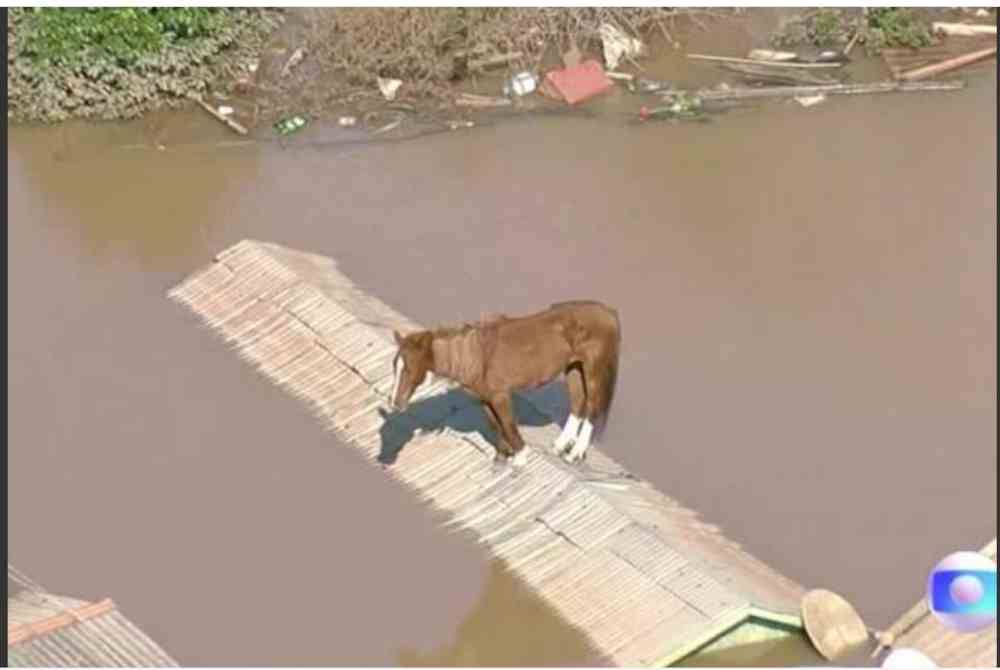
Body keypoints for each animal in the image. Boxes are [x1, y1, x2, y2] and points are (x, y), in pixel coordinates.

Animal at [388, 304, 616, 468]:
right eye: (394, 365)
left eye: (408, 368)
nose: (395, 403)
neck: (475, 355)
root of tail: (609, 313)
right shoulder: (485, 399)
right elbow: (496, 425)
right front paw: (503, 456)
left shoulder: (500, 396)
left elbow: (507, 423)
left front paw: (520, 457)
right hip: (574, 369)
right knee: (578, 404)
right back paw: (560, 447)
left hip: (593, 370)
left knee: (592, 409)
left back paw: (575, 454)